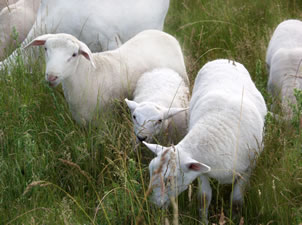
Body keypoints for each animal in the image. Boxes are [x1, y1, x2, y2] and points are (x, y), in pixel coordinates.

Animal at [24, 30, 188, 125]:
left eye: (74, 54)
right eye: (46, 49)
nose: (52, 76)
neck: (89, 76)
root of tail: (164, 35)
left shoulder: (104, 122)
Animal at [142, 59, 266, 223]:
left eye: (169, 180)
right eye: (150, 172)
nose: (153, 206)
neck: (216, 127)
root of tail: (224, 60)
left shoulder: (248, 169)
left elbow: (236, 201)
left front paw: (234, 219)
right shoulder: (202, 170)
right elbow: (204, 198)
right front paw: (203, 221)